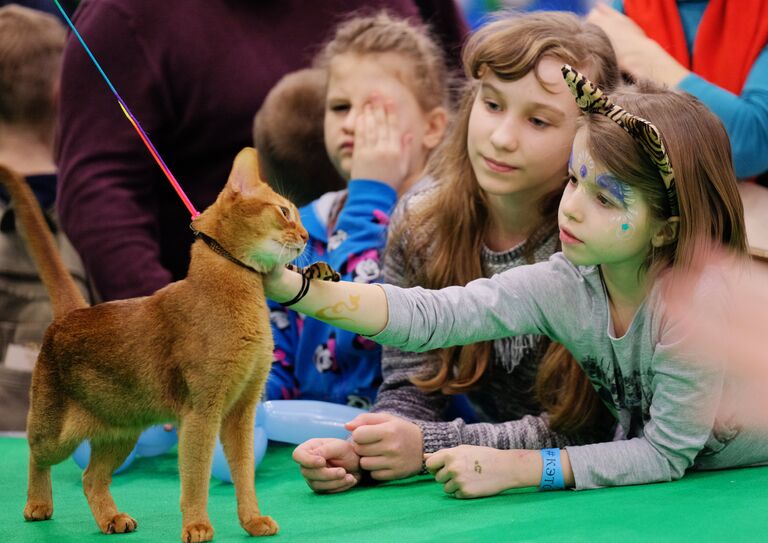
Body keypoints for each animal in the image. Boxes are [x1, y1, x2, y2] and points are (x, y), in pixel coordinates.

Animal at [3, 148, 304, 540]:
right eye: (284, 211)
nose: (306, 235)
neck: (237, 291)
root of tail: (74, 312)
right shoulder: (201, 411)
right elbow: (196, 477)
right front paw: (197, 526)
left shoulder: (242, 410)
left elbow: (244, 472)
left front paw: (253, 521)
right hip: (56, 431)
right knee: (35, 452)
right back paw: (38, 504)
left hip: (122, 431)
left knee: (91, 478)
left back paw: (113, 519)